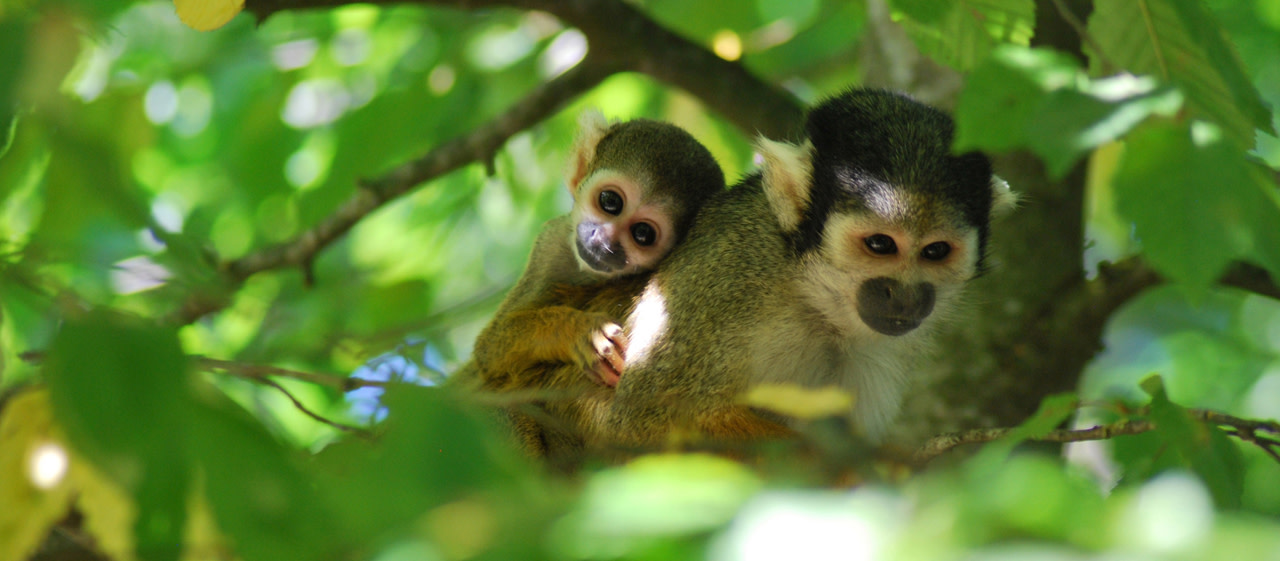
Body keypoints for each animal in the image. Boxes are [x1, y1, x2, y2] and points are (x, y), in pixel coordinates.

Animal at [460, 107, 727, 402]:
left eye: (643, 233)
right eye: (610, 201)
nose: (604, 242)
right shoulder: (550, 243)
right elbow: (489, 351)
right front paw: (583, 333)